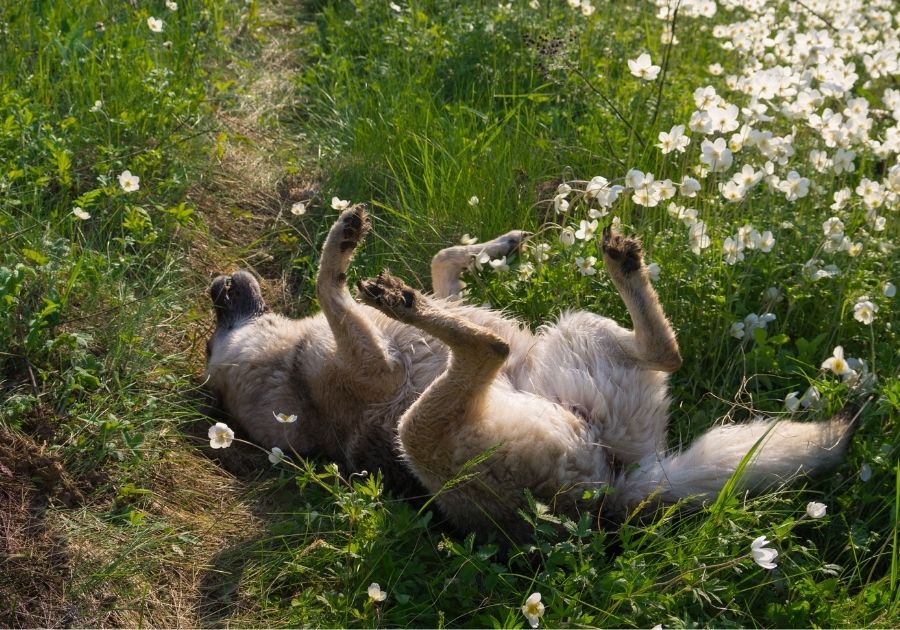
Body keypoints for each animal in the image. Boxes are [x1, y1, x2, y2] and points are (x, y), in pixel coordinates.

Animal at [206, 206, 856, 544]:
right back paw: (404, 303)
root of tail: (608, 494)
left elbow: (442, 261)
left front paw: (499, 245)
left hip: (579, 330)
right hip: (419, 431)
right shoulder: (370, 358)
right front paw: (343, 249)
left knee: (661, 350)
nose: (217, 284)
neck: (285, 366)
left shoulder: (401, 319)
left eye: (214, 322)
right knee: (490, 349)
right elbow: (328, 284)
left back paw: (622, 262)